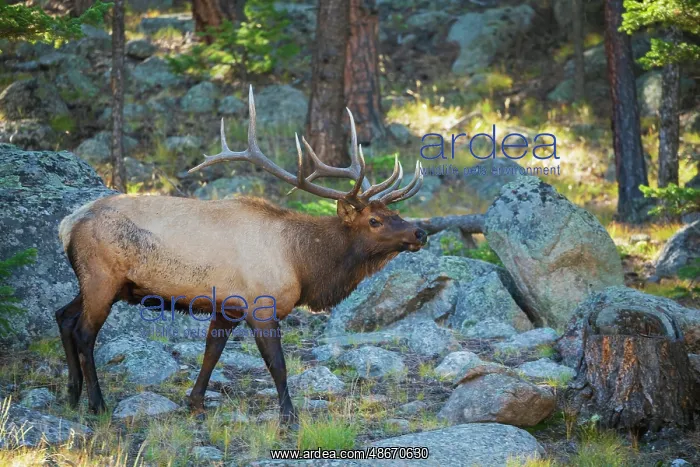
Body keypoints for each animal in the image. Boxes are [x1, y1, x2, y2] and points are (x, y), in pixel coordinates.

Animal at [55, 86, 426, 425]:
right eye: (374, 220)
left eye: (394, 213)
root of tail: (69, 223)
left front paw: (196, 403)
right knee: (84, 333)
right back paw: (97, 404)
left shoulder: (227, 308)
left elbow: (211, 353)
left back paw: (72, 394)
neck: (302, 263)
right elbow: (277, 364)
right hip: (102, 278)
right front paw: (289, 416)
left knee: (63, 316)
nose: (420, 232)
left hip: (98, 282)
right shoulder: (262, 305)